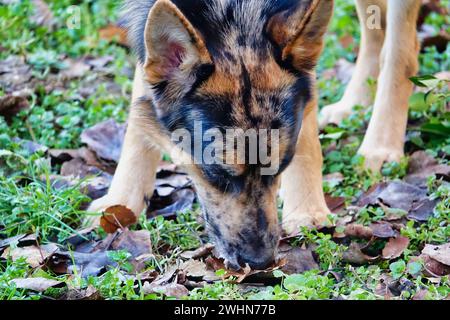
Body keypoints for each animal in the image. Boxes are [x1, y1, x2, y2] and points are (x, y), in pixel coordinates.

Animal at [89, 0, 422, 270]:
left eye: (282, 166)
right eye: (216, 174)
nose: (260, 263)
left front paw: (306, 209)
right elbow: (138, 118)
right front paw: (119, 204)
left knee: (401, 52)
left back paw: (381, 146)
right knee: (376, 30)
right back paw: (354, 104)